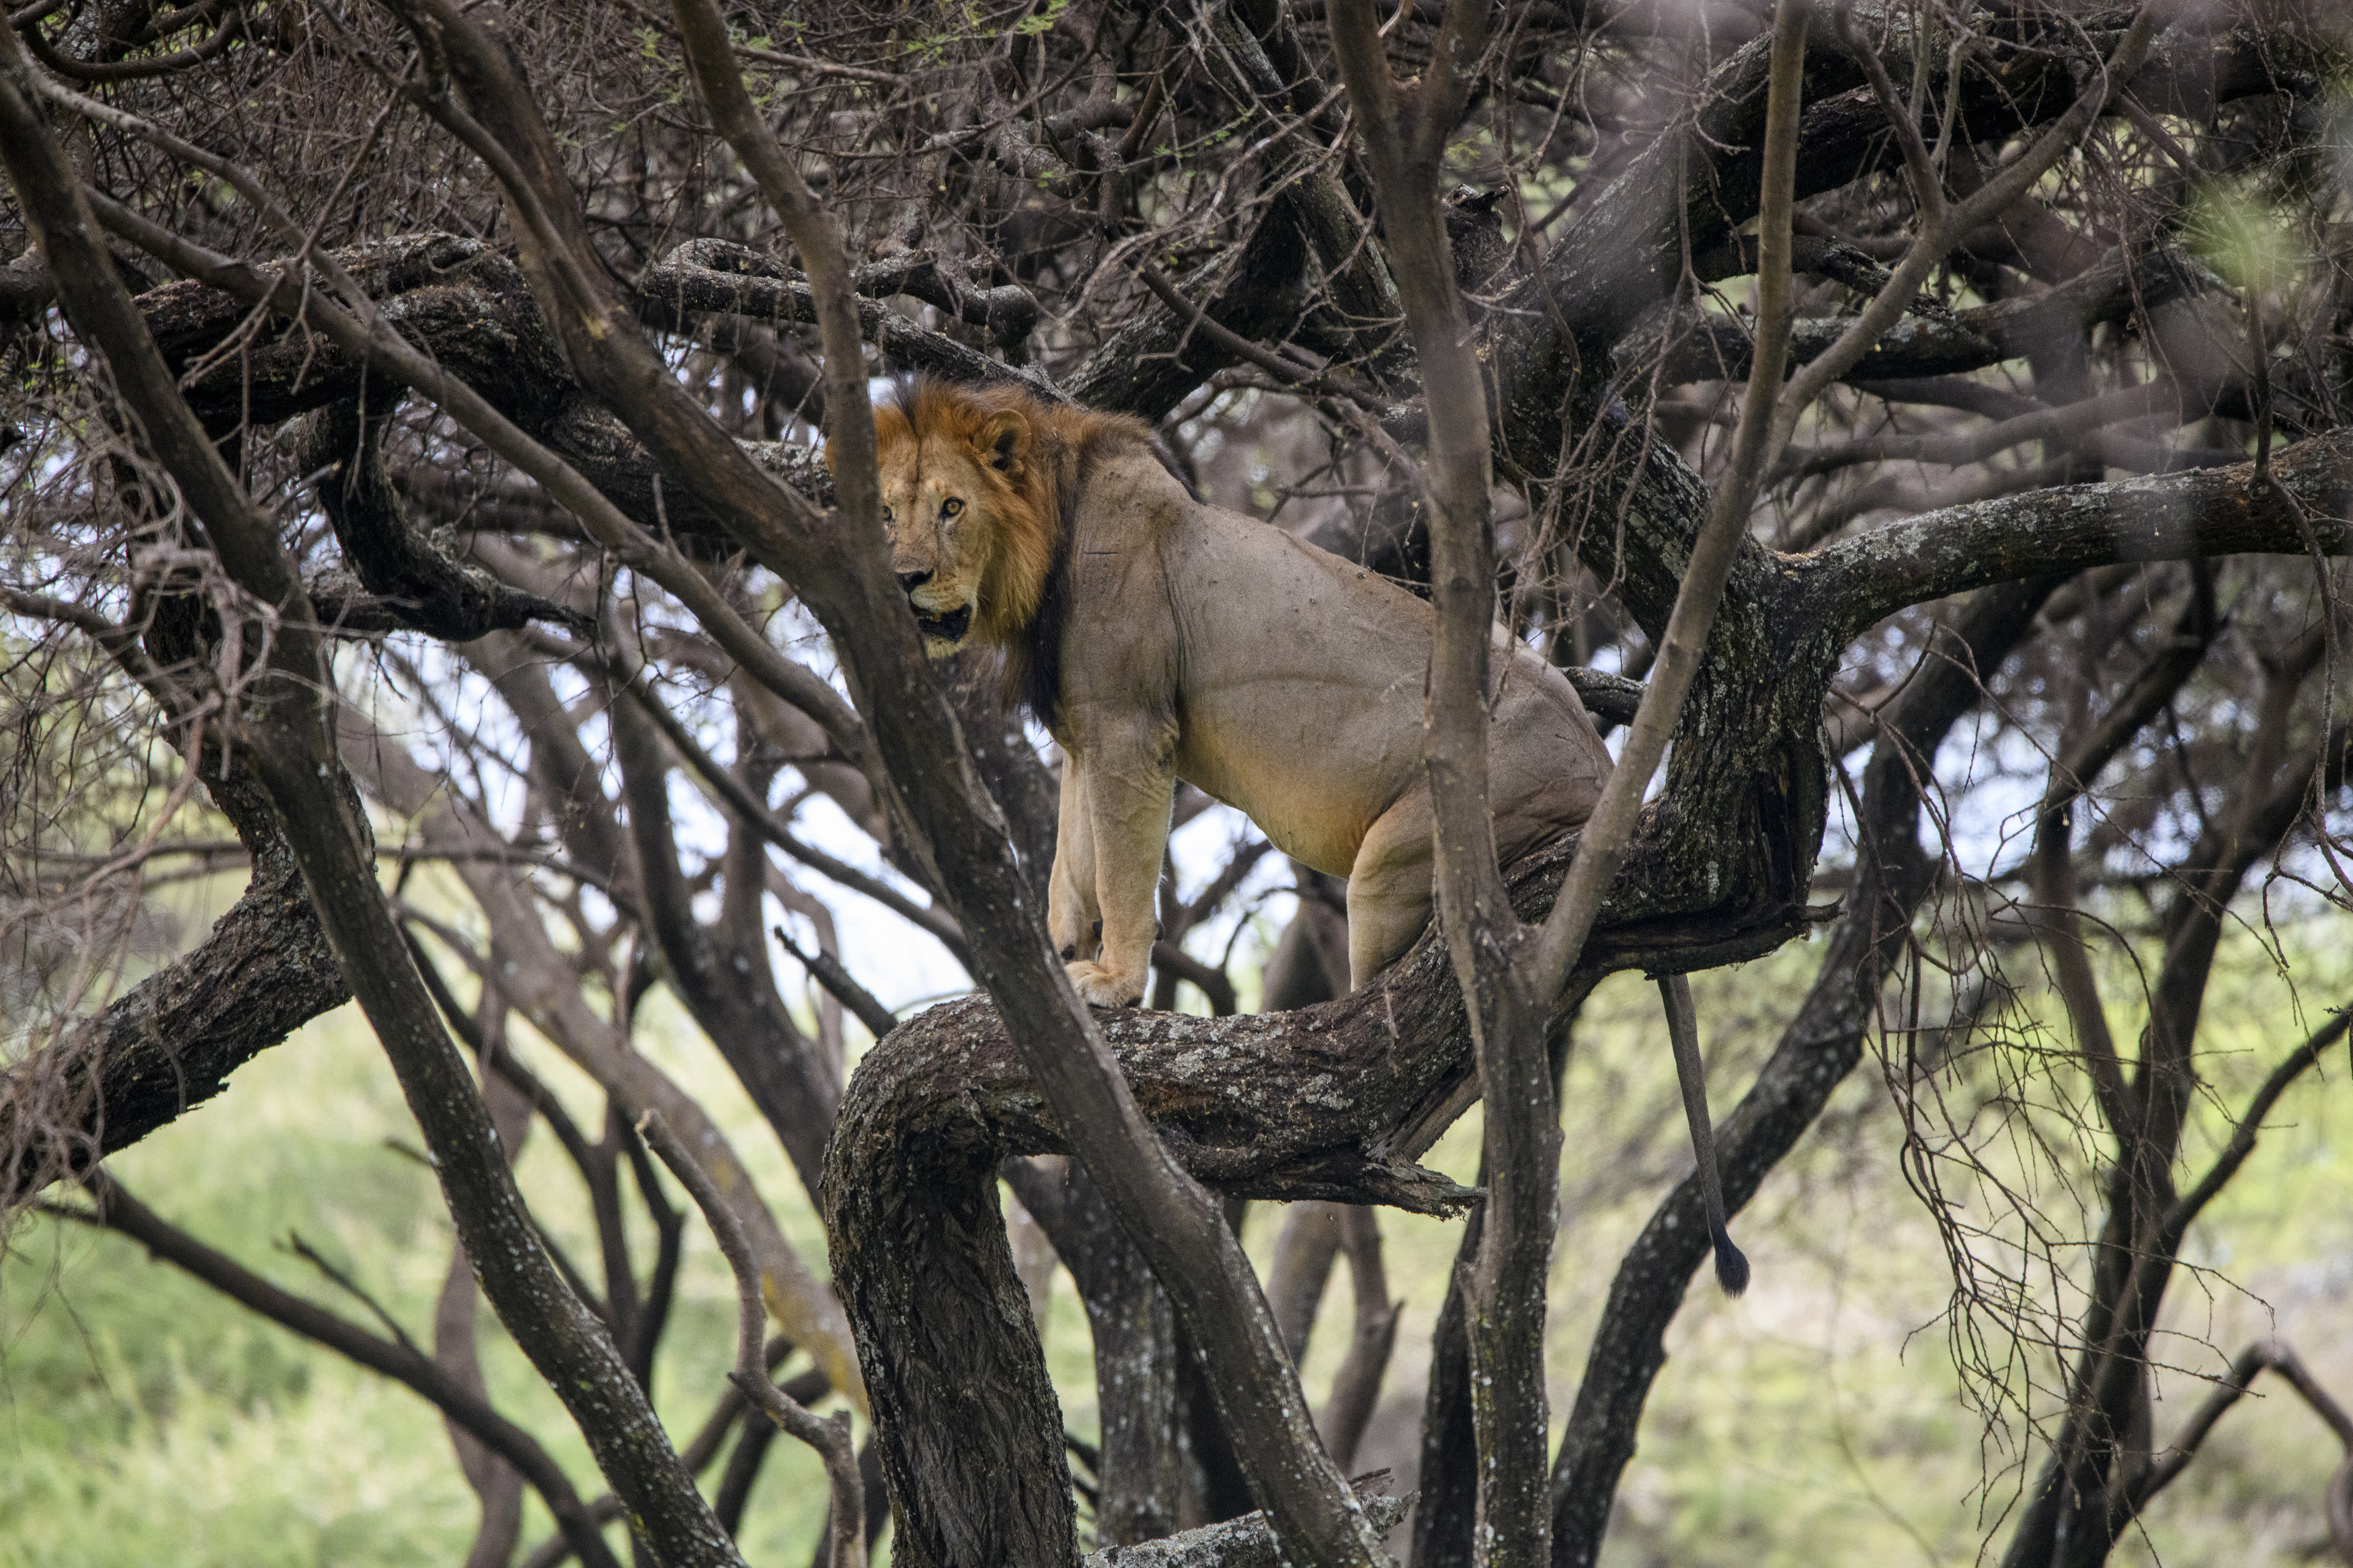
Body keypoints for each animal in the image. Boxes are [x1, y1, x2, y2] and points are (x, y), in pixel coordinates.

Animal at [866, 380, 1619, 1011]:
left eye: (952, 507)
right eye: (886, 513)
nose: (903, 577)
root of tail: (1603, 767)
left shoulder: (1129, 727)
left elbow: (1119, 871)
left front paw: (1114, 982)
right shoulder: (1086, 735)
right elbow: (1070, 869)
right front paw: (1057, 957)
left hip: (1406, 857)